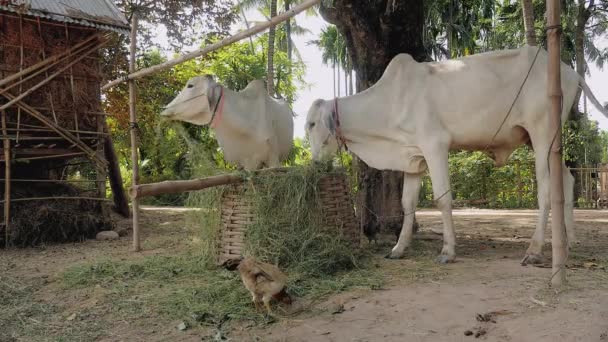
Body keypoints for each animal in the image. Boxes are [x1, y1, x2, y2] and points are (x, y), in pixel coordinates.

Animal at [306, 45, 608, 264]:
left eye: (310, 124)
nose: (314, 163)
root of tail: (570, 72)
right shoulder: (414, 159)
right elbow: (407, 204)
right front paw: (399, 248)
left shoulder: (435, 145)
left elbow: (443, 199)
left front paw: (448, 251)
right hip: (543, 141)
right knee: (567, 180)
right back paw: (569, 242)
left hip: (542, 132)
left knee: (545, 191)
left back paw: (534, 251)